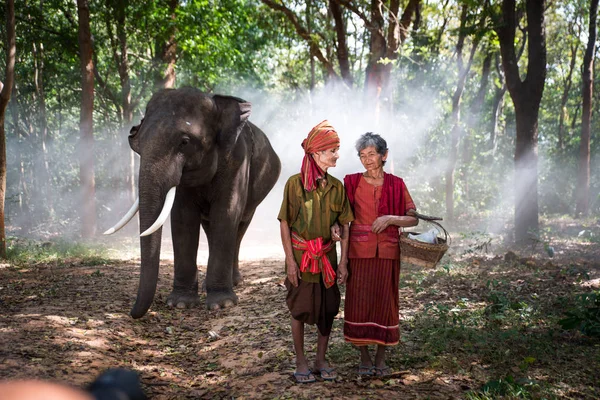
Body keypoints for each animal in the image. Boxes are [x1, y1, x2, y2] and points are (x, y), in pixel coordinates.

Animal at [105, 86, 282, 318]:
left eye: (185, 142)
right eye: (137, 145)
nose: (132, 314)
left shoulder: (237, 161)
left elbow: (226, 213)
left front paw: (221, 304)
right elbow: (183, 218)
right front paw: (180, 304)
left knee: (239, 226)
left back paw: (234, 282)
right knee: (210, 227)